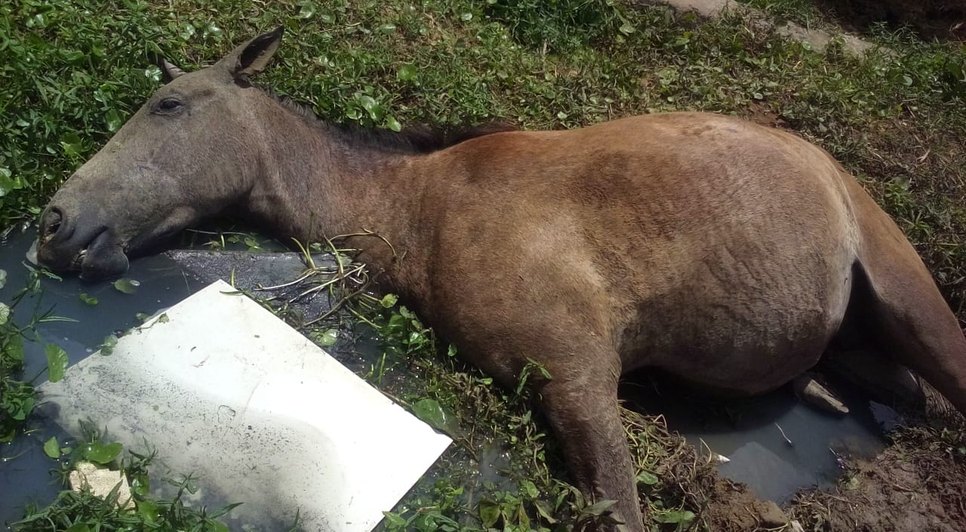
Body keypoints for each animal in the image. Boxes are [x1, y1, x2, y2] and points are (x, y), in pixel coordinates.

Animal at [36, 28, 966, 530]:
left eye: (169, 105)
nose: (54, 226)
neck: (420, 211)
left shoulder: (581, 375)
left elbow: (621, 508)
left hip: (912, 299)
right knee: (890, 390)